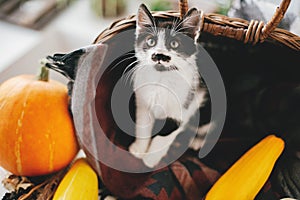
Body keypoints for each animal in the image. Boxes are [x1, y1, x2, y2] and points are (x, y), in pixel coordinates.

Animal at [127, 4, 207, 167]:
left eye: (174, 44)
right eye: (151, 41)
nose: (159, 55)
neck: (161, 79)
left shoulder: (185, 106)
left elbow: (165, 135)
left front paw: (149, 160)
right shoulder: (142, 101)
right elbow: (143, 125)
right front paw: (139, 149)